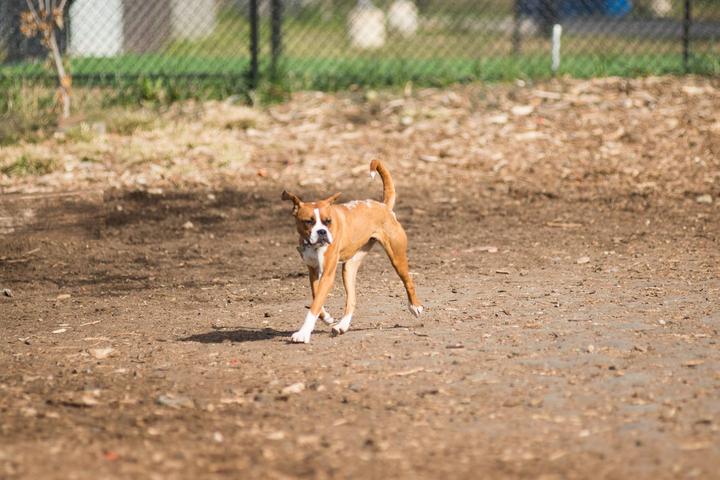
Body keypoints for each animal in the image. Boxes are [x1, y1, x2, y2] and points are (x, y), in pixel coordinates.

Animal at [282, 159, 422, 344]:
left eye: (328, 221)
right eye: (308, 222)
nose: (322, 232)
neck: (313, 246)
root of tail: (383, 206)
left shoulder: (327, 275)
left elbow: (314, 305)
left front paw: (303, 333)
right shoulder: (313, 272)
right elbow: (316, 298)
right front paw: (327, 318)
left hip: (397, 257)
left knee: (408, 281)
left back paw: (415, 306)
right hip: (349, 268)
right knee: (352, 300)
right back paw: (341, 326)